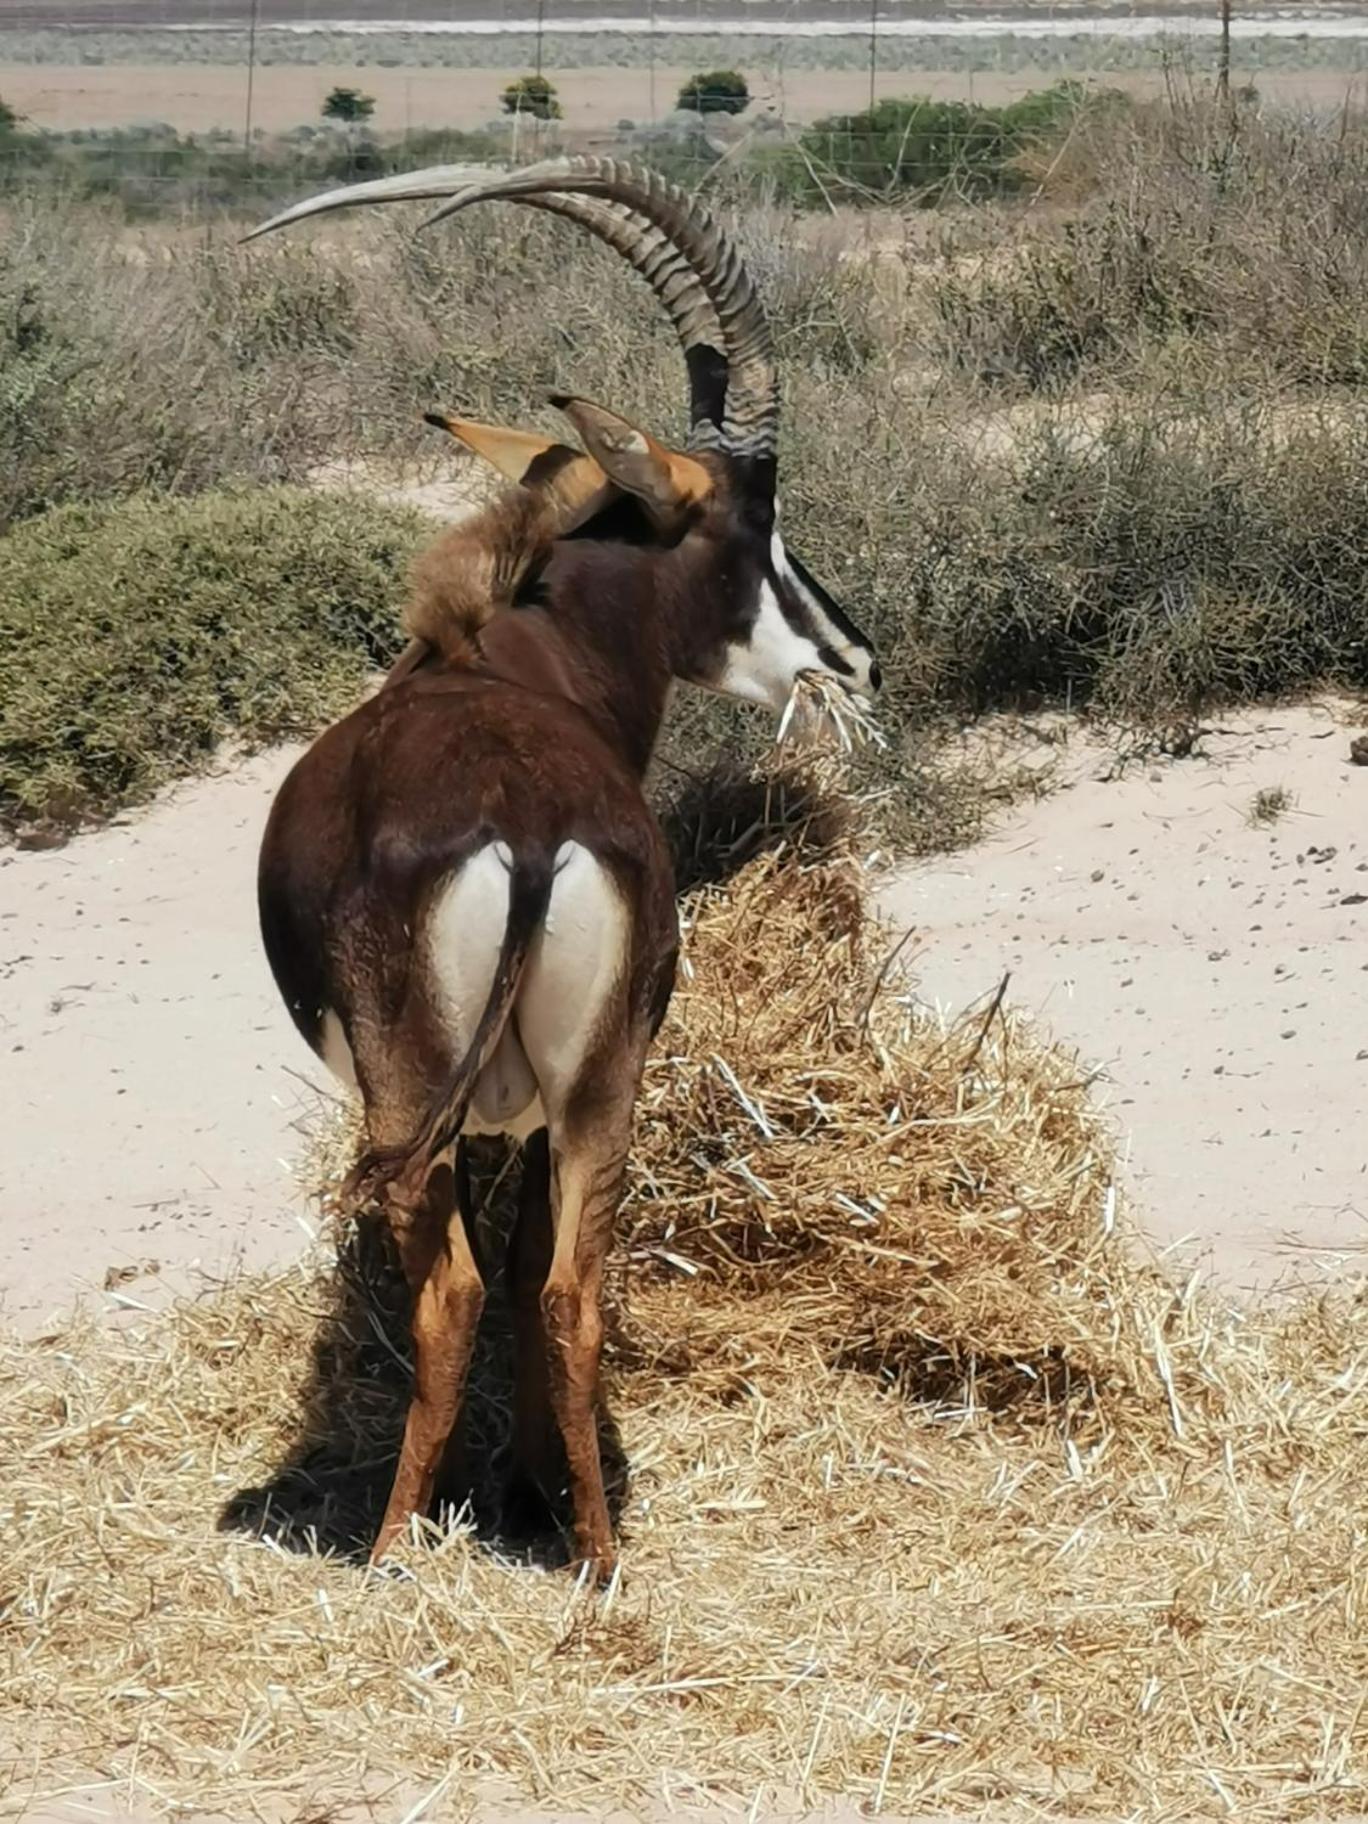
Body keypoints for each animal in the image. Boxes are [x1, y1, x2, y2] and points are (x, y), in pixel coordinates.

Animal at [251, 164, 882, 1575]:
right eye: (761, 532)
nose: (857, 659)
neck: (511, 657)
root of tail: (528, 826)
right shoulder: (543, 1103)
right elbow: (541, 1258)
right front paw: (536, 1484)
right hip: (601, 1078)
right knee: (567, 1288)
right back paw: (593, 1558)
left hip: (419, 1098)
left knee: (459, 1292)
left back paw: (394, 1549)